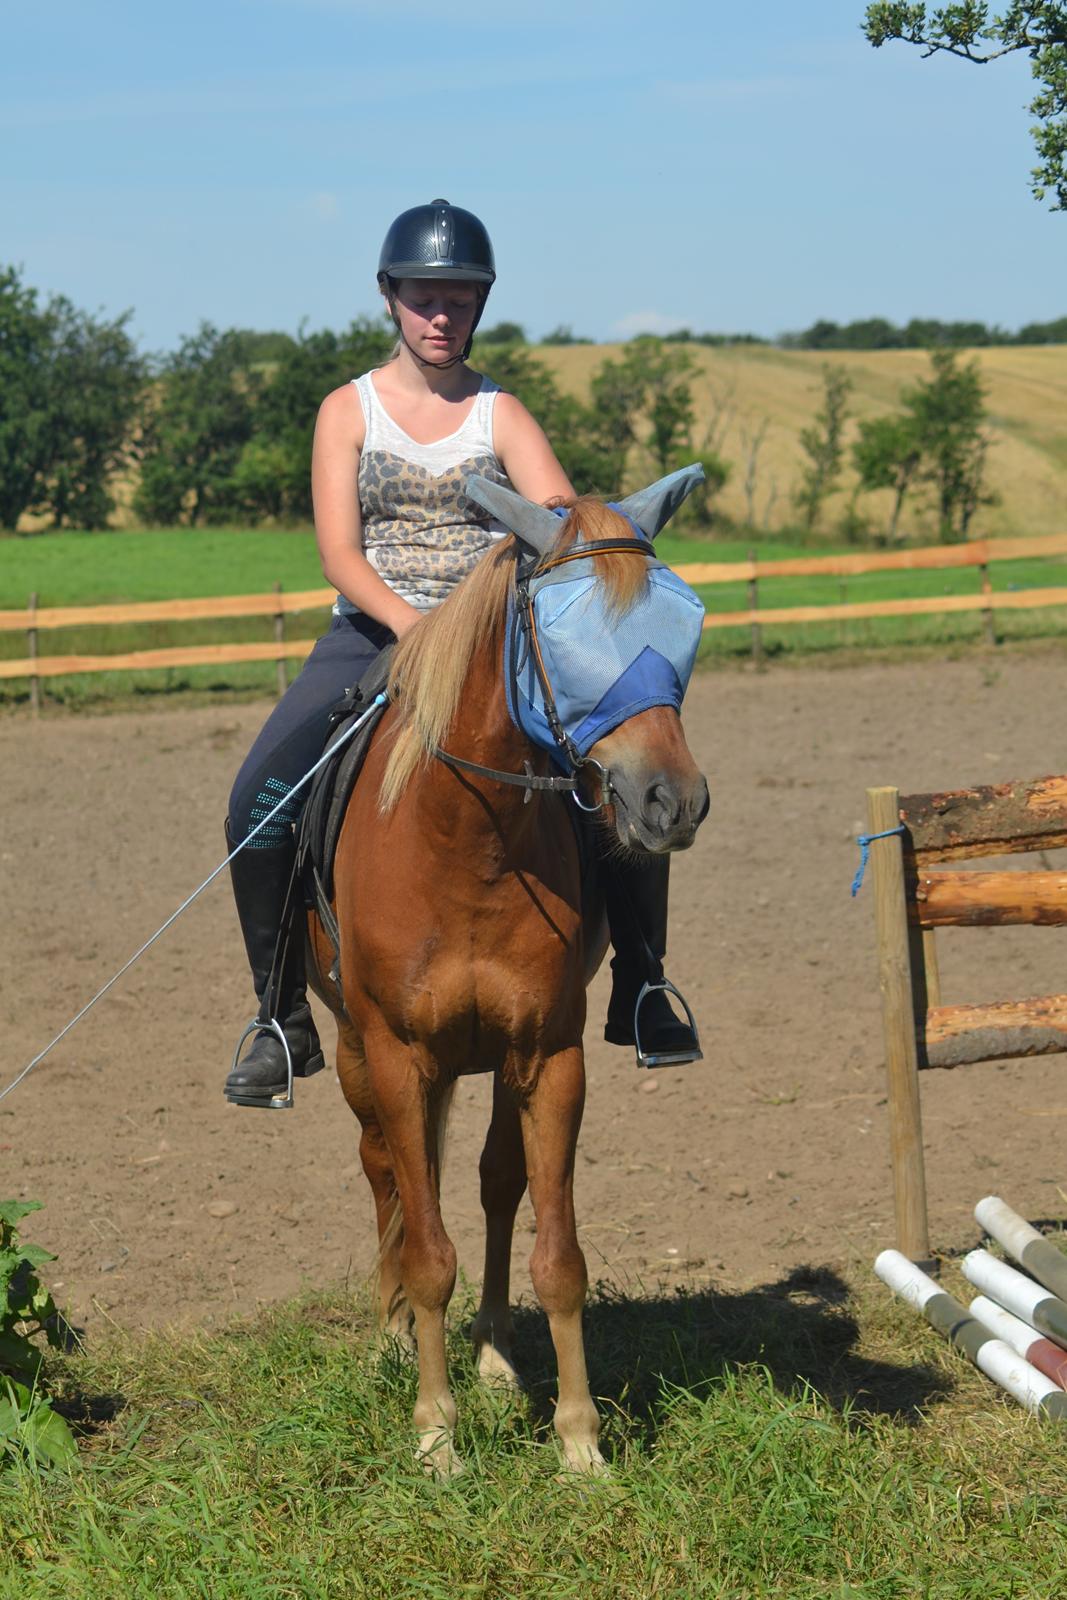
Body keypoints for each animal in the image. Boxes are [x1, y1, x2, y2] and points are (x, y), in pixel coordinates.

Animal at [307, 467, 710, 1472]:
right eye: (562, 639)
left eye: (683, 622)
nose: (673, 802)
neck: (467, 846)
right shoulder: (399, 1057)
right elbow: (426, 1250)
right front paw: (434, 1436)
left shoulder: (550, 1056)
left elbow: (555, 1253)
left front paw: (579, 1441)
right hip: (353, 1050)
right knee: (384, 1172)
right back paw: (390, 1338)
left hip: (495, 1058)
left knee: (491, 1182)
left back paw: (490, 1356)